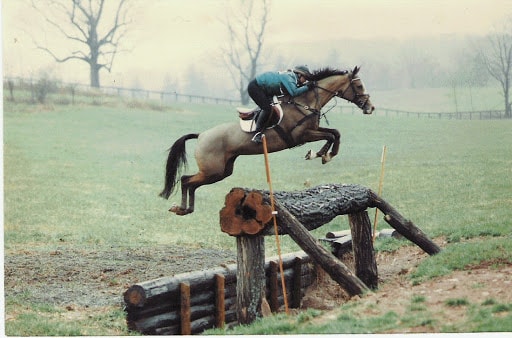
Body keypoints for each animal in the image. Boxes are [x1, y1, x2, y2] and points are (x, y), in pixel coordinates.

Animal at [160, 65, 376, 214]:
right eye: (358, 85)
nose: (370, 108)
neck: (305, 102)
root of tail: (202, 135)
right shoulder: (302, 135)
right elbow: (330, 135)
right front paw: (321, 154)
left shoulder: (313, 129)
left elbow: (335, 133)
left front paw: (324, 154)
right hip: (212, 170)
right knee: (186, 180)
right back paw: (181, 208)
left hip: (221, 171)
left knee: (191, 182)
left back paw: (185, 209)